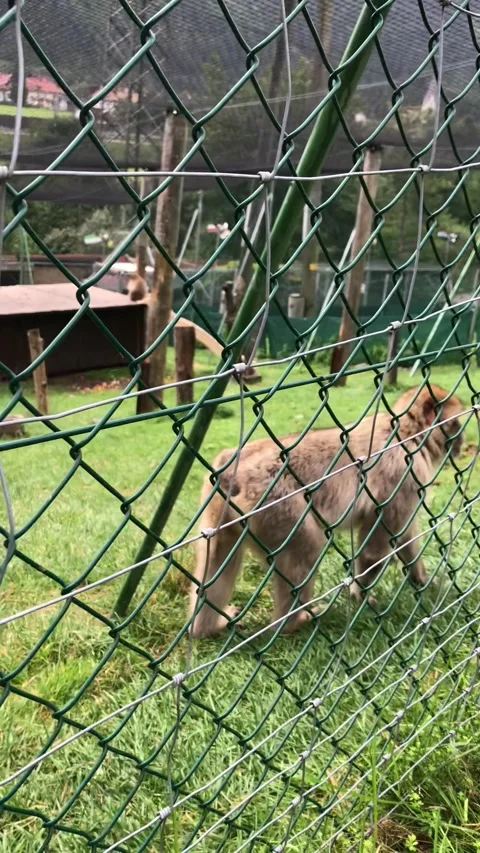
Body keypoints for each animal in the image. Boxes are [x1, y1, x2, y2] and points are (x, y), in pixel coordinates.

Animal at [188, 384, 465, 638]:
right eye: (456, 424)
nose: (462, 443)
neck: (406, 434)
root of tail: (232, 472)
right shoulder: (404, 473)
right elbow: (375, 550)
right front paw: (361, 595)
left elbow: (404, 537)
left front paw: (422, 580)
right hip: (275, 505)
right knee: (308, 549)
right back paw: (292, 622)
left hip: (219, 510)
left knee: (216, 563)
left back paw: (205, 628)